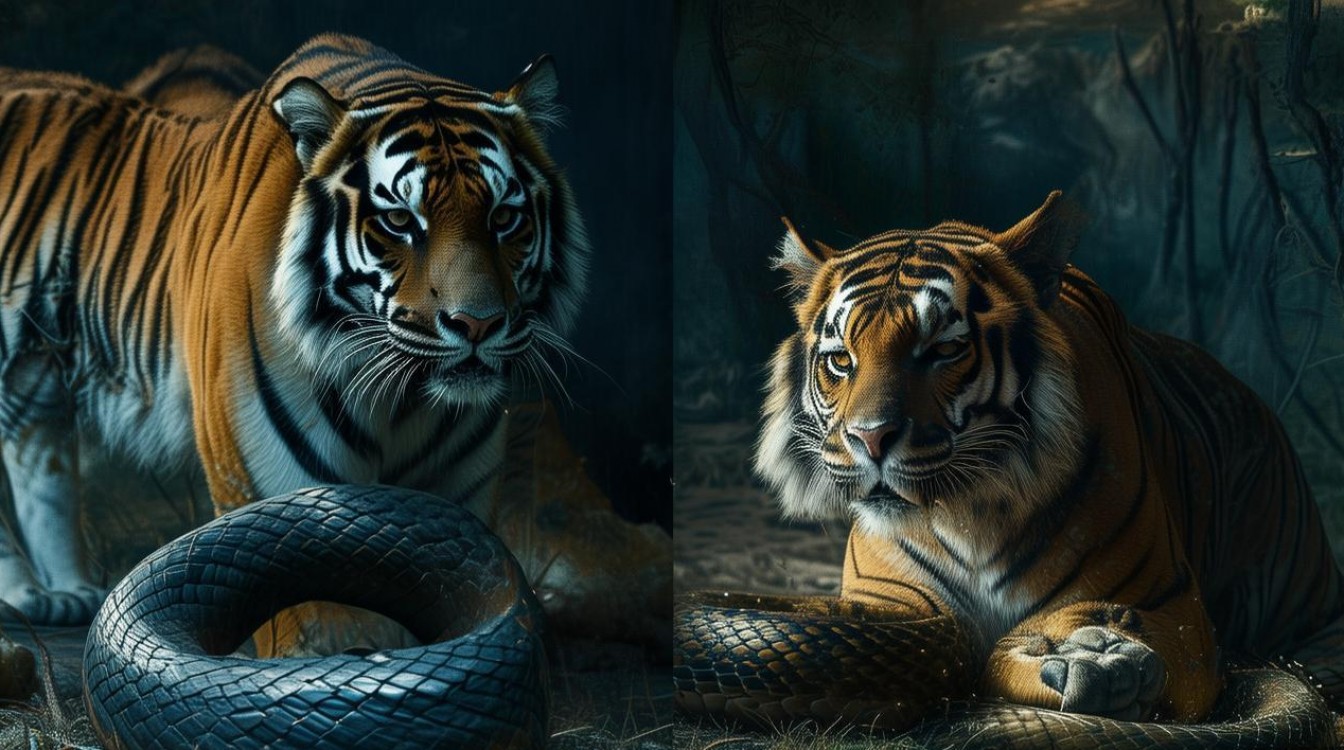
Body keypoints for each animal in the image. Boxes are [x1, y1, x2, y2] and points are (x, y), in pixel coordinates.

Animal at [0, 34, 610, 635]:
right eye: (399, 221)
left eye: (504, 218)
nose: (477, 323)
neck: (403, 400)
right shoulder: (272, 487)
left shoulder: (461, 494)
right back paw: (26, 596)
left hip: (37, 382)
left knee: (41, 460)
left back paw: (68, 592)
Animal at [755, 191, 1344, 722]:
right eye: (841, 360)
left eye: (944, 349)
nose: (871, 439)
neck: (968, 516)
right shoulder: (890, 602)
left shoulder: (1173, 607)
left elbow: (1009, 652)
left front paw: (1099, 662)